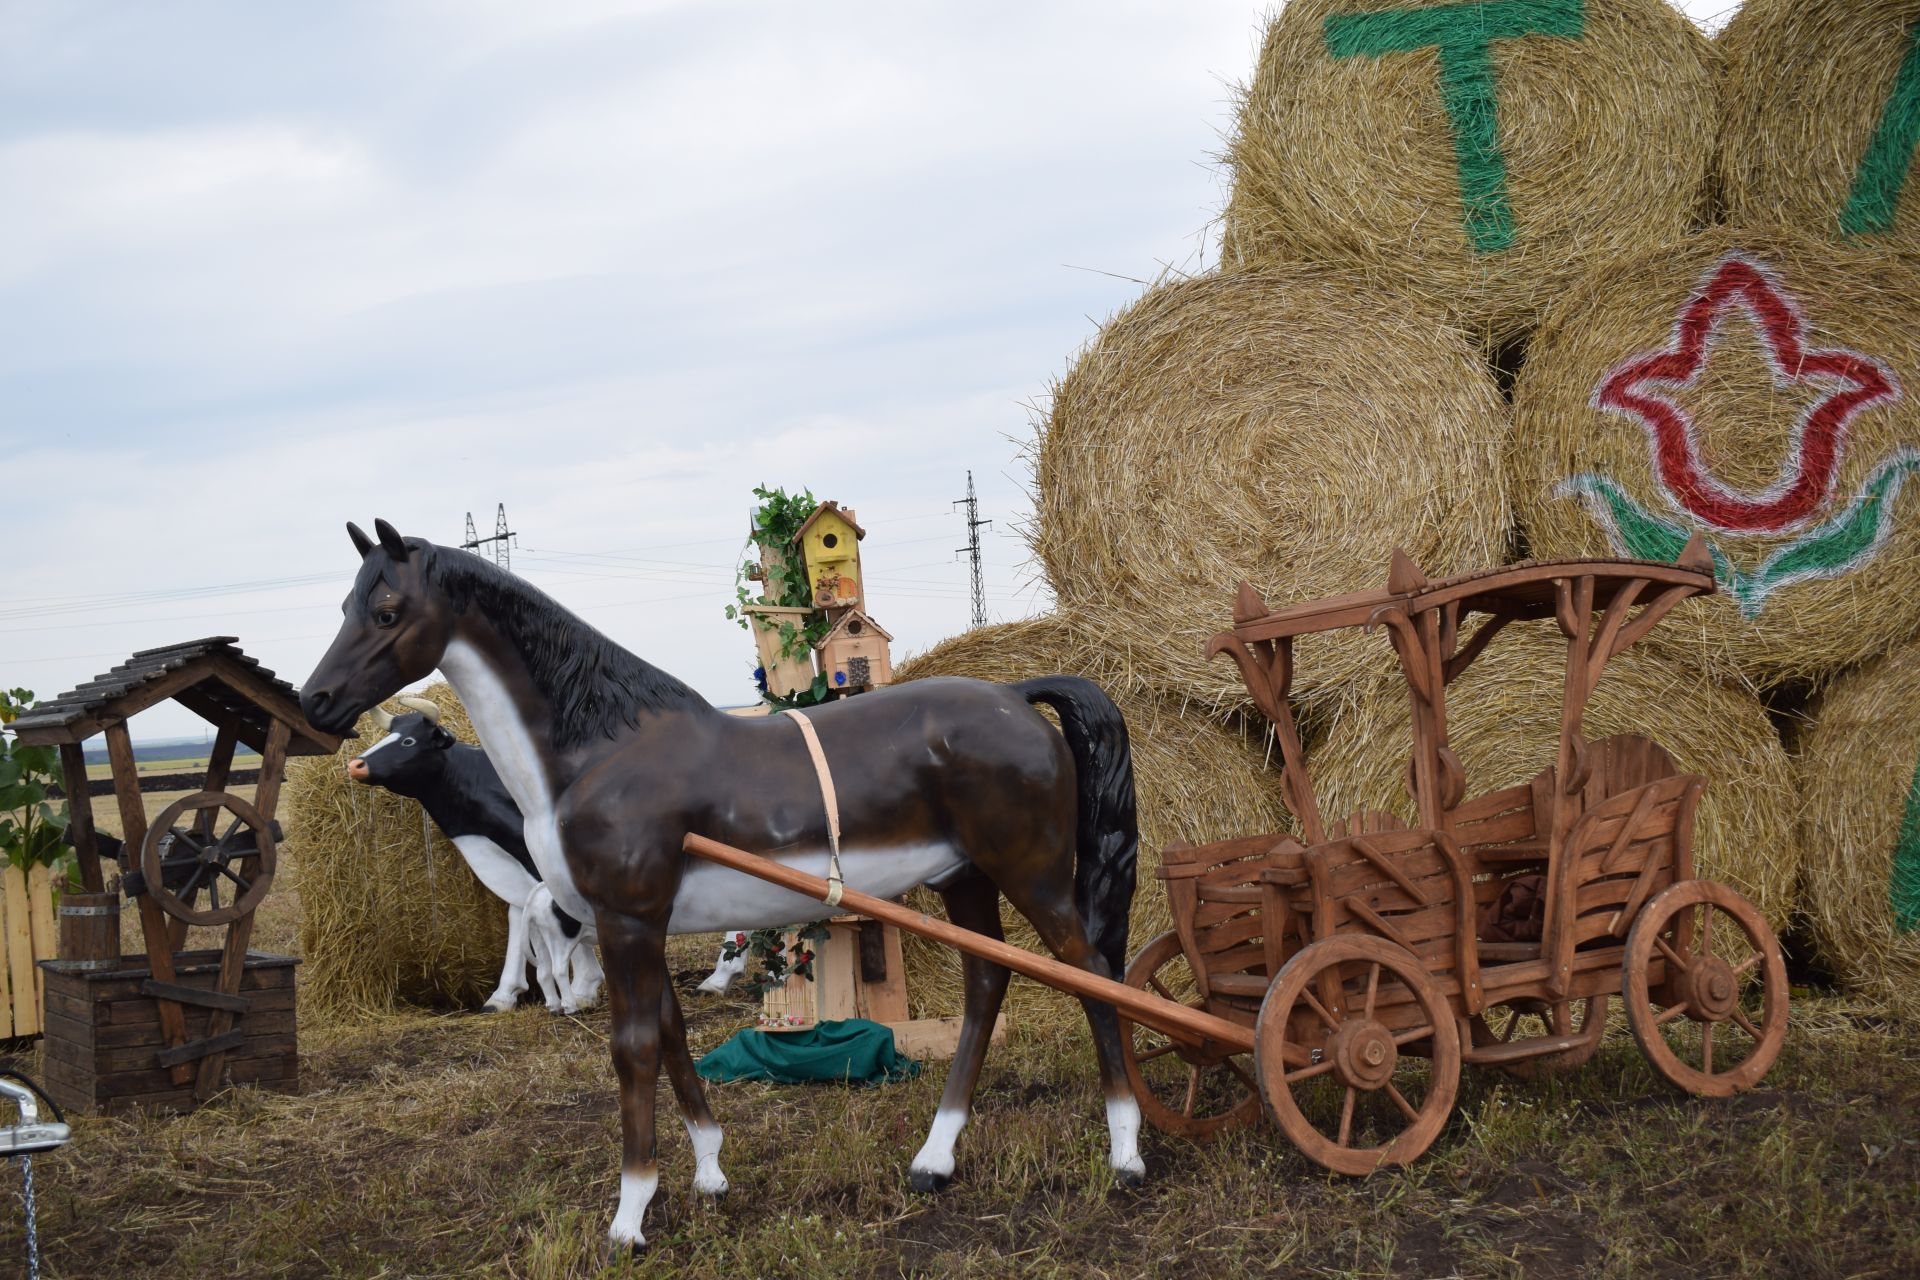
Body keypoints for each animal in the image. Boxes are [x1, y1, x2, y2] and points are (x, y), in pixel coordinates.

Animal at [349, 694, 602, 1013]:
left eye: (408, 741)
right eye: (388, 734)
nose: (356, 764)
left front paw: (584, 987)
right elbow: (519, 914)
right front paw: (504, 994)